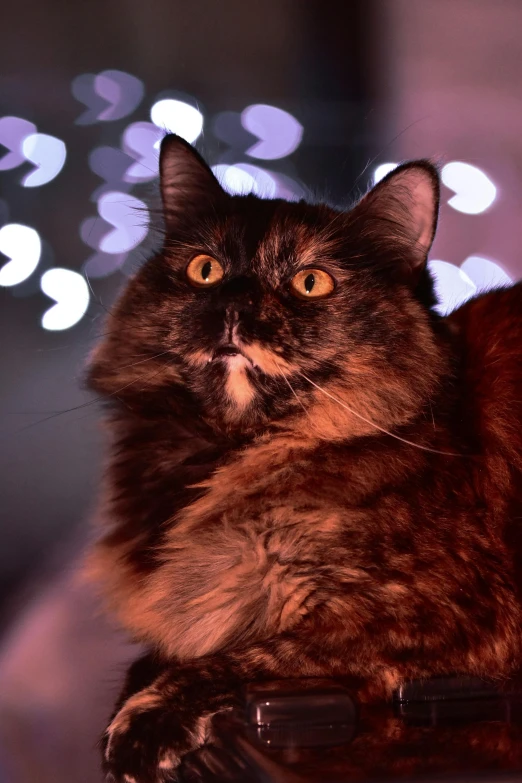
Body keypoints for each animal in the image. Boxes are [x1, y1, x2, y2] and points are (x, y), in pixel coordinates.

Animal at [85, 132, 520, 780]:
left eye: (310, 282)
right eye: (206, 270)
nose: (234, 307)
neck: (231, 457)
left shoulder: (440, 619)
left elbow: (245, 657)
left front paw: (143, 727)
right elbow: (155, 656)